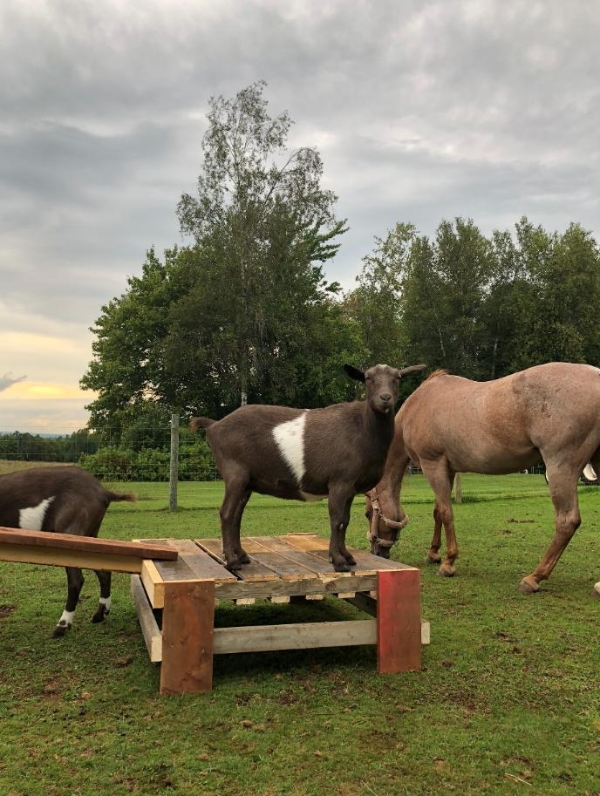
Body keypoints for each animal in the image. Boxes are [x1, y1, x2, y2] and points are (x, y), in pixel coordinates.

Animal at [0, 464, 134, 636]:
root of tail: (103, 491)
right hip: (89, 536)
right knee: (103, 571)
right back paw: (99, 615)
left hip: (72, 531)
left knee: (76, 580)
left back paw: (61, 627)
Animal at [190, 364, 424, 576]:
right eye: (368, 378)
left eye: (397, 378)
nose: (385, 398)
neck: (362, 427)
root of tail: (214, 425)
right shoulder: (339, 483)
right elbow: (337, 521)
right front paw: (338, 562)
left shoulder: (350, 488)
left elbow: (345, 521)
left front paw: (347, 557)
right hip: (235, 475)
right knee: (227, 513)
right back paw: (232, 561)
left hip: (247, 482)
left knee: (237, 514)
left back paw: (242, 556)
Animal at [366, 360, 600, 592]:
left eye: (368, 514)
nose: (376, 552)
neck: (416, 408)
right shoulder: (447, 469)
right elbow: (438, 512)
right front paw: (433, 553)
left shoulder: (432, 464)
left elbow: (446, 512)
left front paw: (448, 563)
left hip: (560, 467)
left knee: (567, 521)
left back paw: (535, 577)